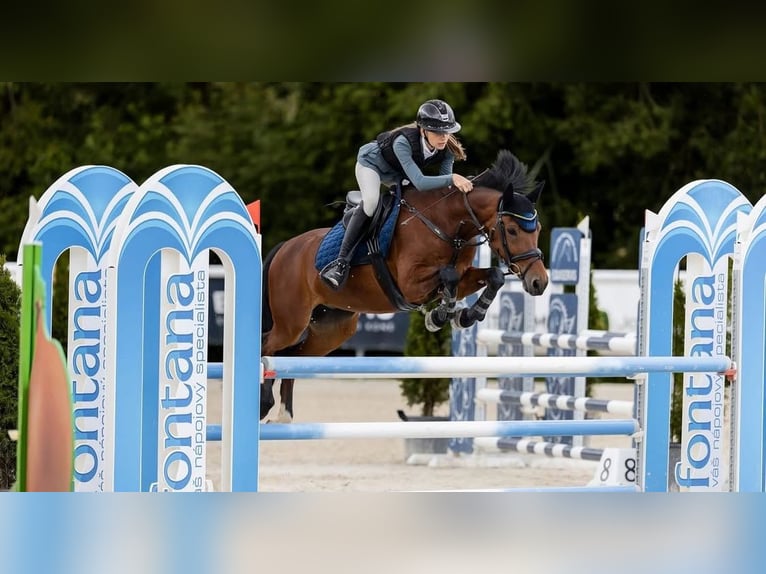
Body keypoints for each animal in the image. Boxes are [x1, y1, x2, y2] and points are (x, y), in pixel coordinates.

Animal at [260, 149, 549, 422]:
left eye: (537, 229)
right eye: (512, 230)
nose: (539, 282)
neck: (448, 225)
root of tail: (285, 247)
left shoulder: (464, 275)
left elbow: (493, 277)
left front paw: (463, 315)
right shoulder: (410, 284)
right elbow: (449, 277)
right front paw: (440, 315)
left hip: (332, 329)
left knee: (292, 357)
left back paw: (284, 415)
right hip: (292, 322)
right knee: (268, 346)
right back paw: (265, 403)